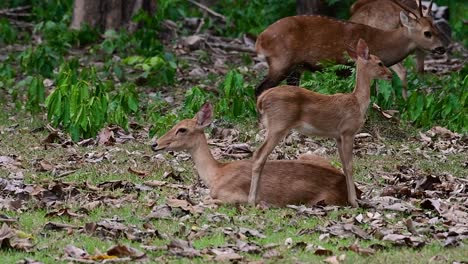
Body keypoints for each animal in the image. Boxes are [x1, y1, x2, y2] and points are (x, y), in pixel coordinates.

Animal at [152, 102, 360, 206]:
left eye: (182, 129)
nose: (154, 144)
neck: (216, 175)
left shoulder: (235, 195)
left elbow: (205, 200)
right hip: (308, 155)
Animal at [249, 39, 392, 207]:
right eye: (380, 63)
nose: (390, 75)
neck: (357, 102)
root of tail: (262, 99)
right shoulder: (348, 131)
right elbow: (350, 166)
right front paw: (354, 202)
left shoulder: (338, 136)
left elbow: (344, 165)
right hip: (278, 125)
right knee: (259, 155)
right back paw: (251, 201)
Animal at [256, 0, 446, 98]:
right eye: (427, 33)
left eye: (437, 28)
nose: (441, 48)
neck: (380, 42)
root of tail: (260, 39)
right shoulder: (348, 65)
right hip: (281, 61)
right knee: (259, 88)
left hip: (295, 67)